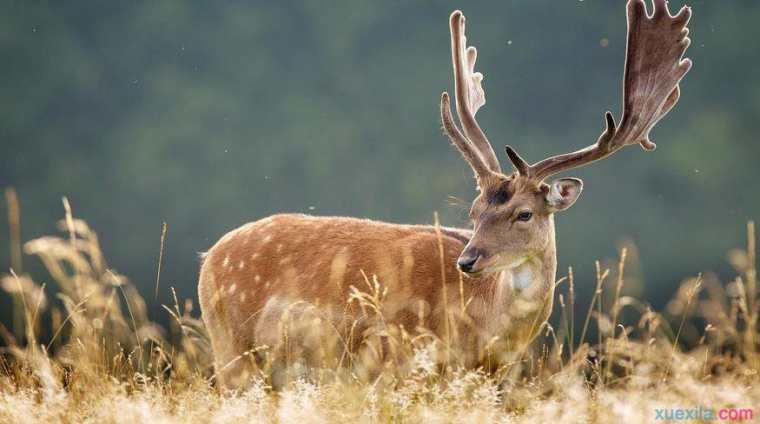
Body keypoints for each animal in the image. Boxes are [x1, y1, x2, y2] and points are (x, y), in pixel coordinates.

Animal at [199, 0, 692, 390]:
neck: (483, 332)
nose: (468, 260)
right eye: (474, 213)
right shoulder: (398, 361)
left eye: (524, 214)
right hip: (231, 350)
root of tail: (209, 257)